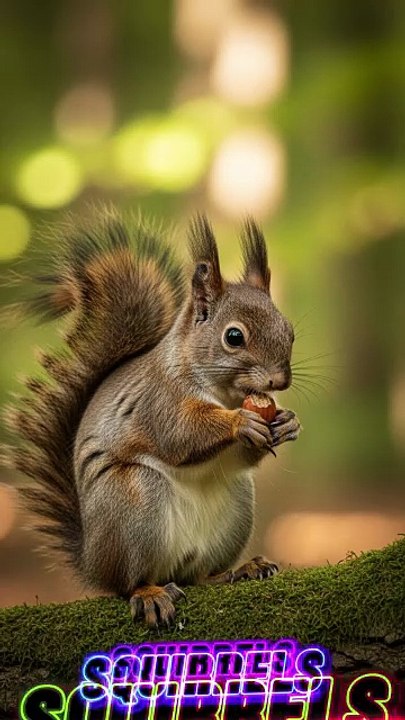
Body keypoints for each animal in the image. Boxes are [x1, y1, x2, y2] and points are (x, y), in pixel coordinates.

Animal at [3, 209, 301, 627]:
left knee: (198, 575)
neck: (224, 394)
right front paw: (240, 423)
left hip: (237, 508)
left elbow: (244, 455)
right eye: (233, 337)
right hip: (133, 503)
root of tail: (92, 560)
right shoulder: (158, 402)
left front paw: (287, 422)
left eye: (290, 332)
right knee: (127, 582)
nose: (279, 381)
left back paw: (238, 570)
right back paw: (148, 595)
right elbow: (180, 435)